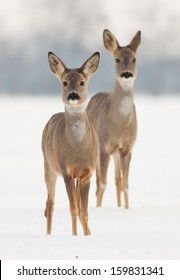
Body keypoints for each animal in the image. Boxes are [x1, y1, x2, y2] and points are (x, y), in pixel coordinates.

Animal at [41, 50, 100, 234]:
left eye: (82, 82)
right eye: (65, 82)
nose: (73, 95)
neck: (79, 150)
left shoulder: (87, 173)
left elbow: (84, 211)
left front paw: (87, 235)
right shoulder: (66, 170)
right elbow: (73, 209)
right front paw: (74, 236)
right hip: (48, 165)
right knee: (49, 204)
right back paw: (48, 234)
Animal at [87, 30, 141, 208]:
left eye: (134, 59)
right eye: (117, 59)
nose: (126, 74)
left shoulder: (127, 148)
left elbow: (125, 184)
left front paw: (126, 209)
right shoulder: (104, 147)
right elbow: (102, 183)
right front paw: (98, 208)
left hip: (116, 154)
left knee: (117, 180)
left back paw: (118, 206)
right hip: (96, 150)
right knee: (97, 181)